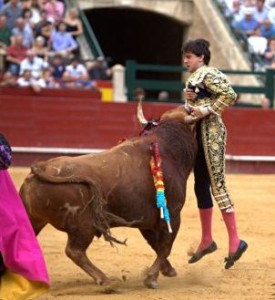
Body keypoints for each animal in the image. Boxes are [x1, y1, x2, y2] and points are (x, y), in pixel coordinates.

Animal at [19, 101, 197, 290]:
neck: (166, 148)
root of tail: (42, 167)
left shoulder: (146, 221)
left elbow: (155, 244)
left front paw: (168, 270)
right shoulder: (173, 213)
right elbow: (165, 246)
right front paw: (152, 278)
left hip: (34, 219)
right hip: (83, 224)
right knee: (74, 251)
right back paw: (105, 281)